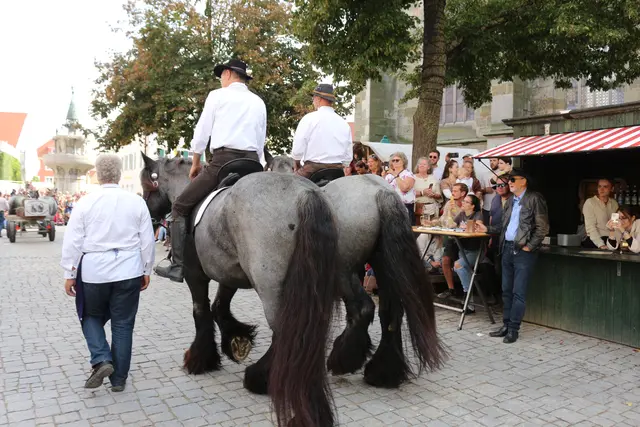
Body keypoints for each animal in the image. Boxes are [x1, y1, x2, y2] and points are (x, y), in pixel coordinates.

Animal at [140, 154, 340, 427]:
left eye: (149, 185)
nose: (146, 213)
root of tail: (305, 194)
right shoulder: (230, 272)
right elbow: (219, 307)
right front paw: (236, 339)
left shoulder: (195, 275)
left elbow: (201, 311)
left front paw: (200, 358)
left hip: (273, 290)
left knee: (286, 333)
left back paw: (260, 379)